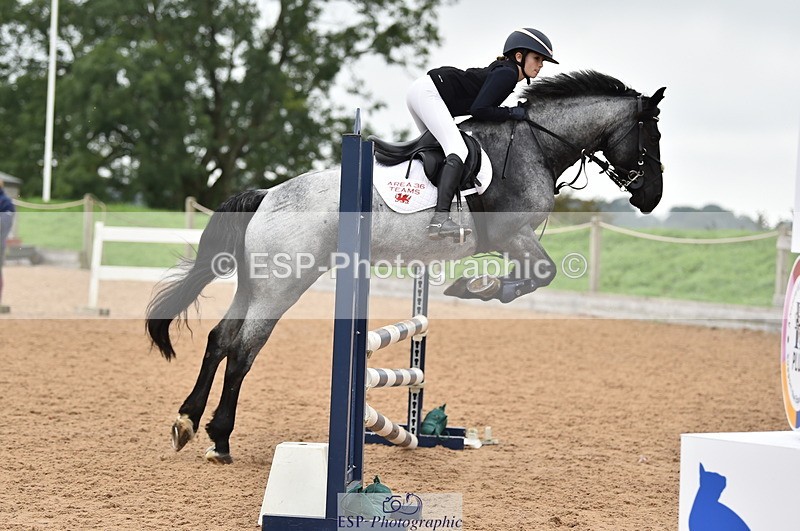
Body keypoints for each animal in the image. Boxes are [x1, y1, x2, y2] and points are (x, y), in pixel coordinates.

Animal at [146, 70, 666, 463]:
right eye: (651, 136)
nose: (652, 198)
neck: (535, 143)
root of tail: (268, 195)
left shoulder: (513, 241)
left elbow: (535, 276)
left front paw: (475, 286)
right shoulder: (512, 236)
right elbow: (541, 274)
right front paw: (476, 287)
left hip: (255, 284)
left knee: (220, 340)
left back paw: (187, 422)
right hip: (282, 285)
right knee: (243, 352)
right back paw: (220, 440)